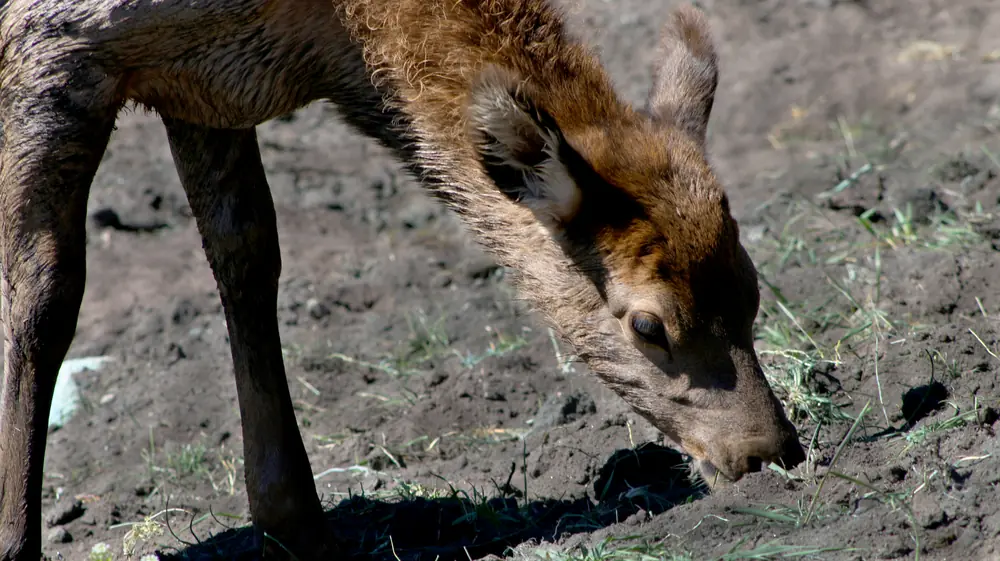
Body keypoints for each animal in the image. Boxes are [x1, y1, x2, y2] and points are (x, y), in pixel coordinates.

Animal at [0, 0, 806, 559]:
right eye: (647, 323)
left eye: (752, 287)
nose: (771, 452)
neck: (323, 34)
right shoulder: (50, 46)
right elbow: (43, 301)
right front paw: (15, 540)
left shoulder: (202, 83)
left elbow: (248, 259)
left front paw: (297, 522)